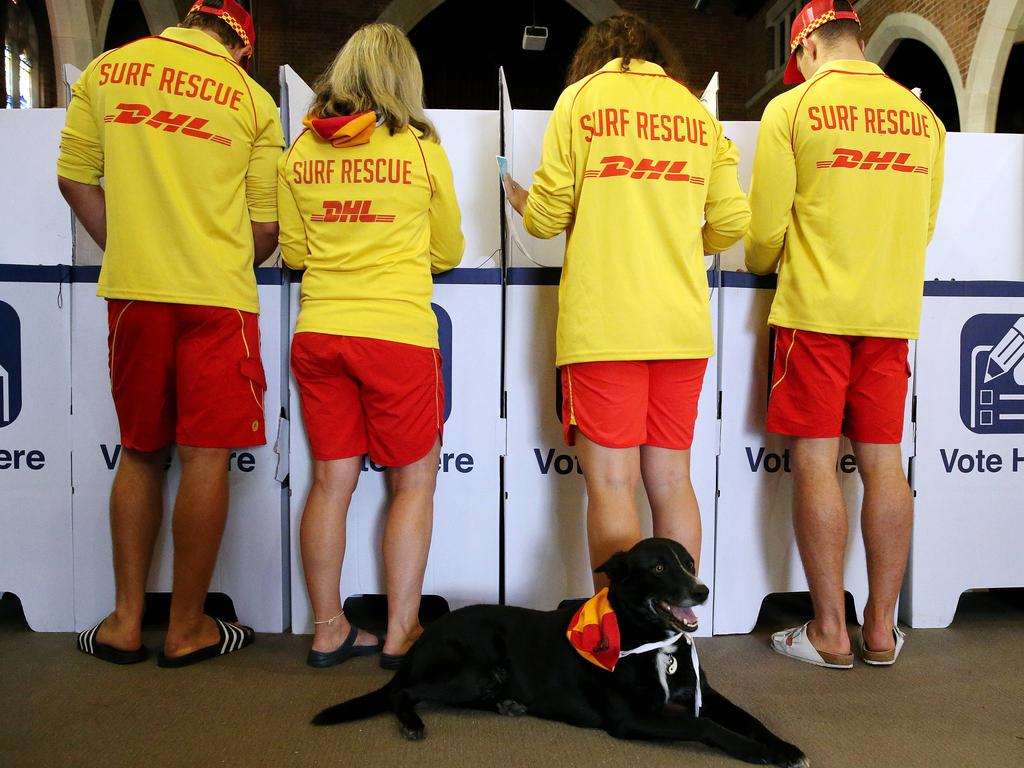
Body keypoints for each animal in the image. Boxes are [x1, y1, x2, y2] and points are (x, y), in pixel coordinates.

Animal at [311, 536, 806, 765]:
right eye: (658, 568)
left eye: (688, 562)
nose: (702, 591)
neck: (652, 641)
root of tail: (422, 638)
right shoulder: (629, 719)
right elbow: (705, 727)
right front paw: (755, 752)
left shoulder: (707, 694)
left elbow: (748, 718)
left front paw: (783, 746)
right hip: (468, 668)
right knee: (403, 692)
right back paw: (413, 722)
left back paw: (509, 704)